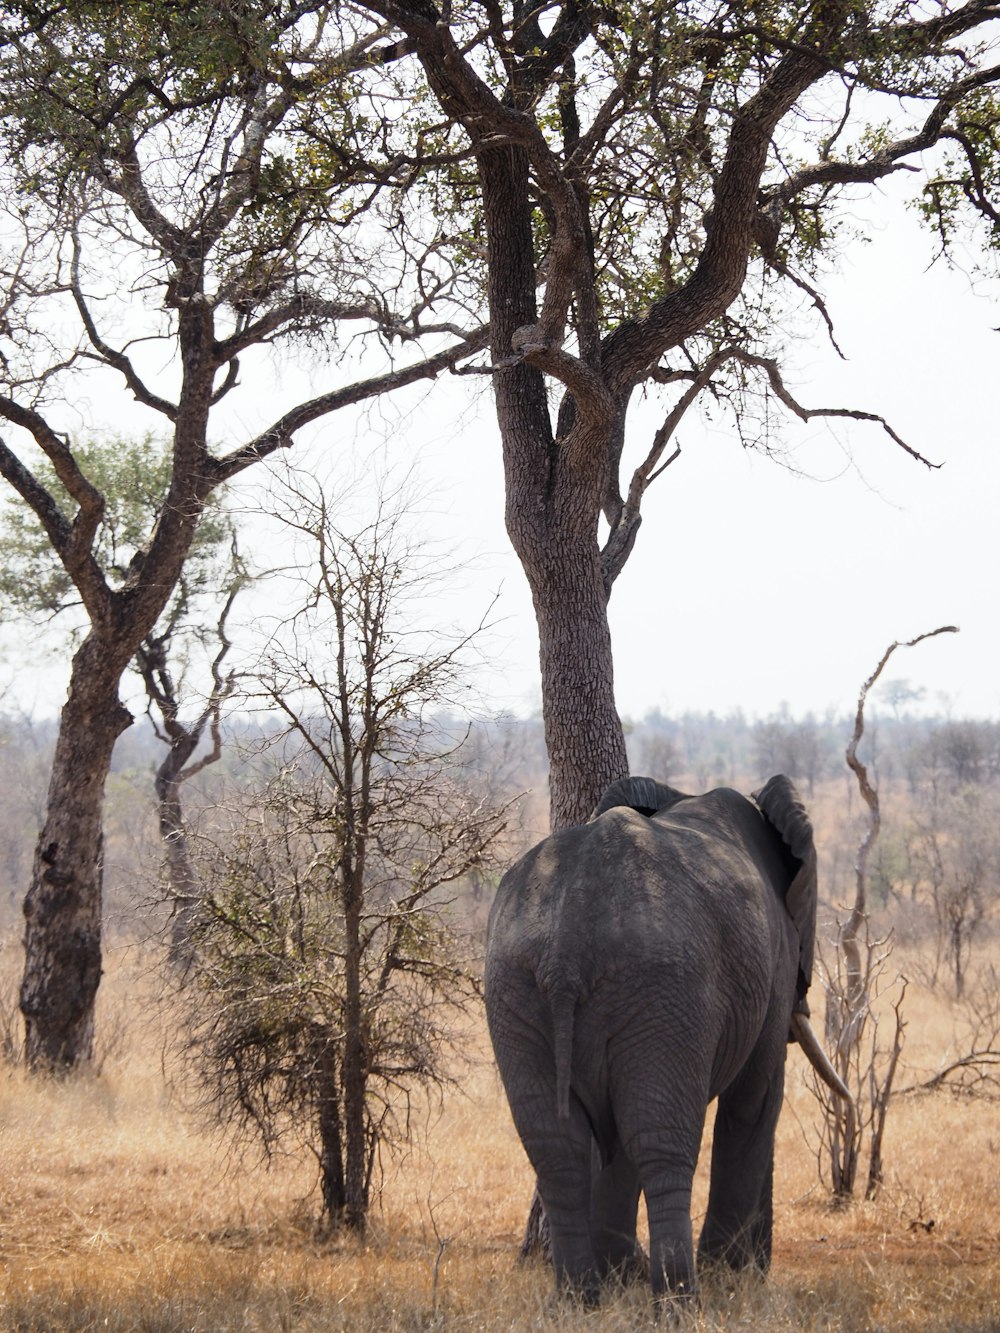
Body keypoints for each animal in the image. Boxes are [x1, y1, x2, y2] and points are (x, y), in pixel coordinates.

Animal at [485, 773, 853, 1301]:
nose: (760, 1267)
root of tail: (567, 939)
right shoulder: (776, 963)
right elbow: (755, 1100)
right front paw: (732, 1279)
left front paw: (622, 1279)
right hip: (663, 988)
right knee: (663, 1143)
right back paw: (680, 1300)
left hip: (516, 984)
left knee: (559, 1149)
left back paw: (581, 1300)